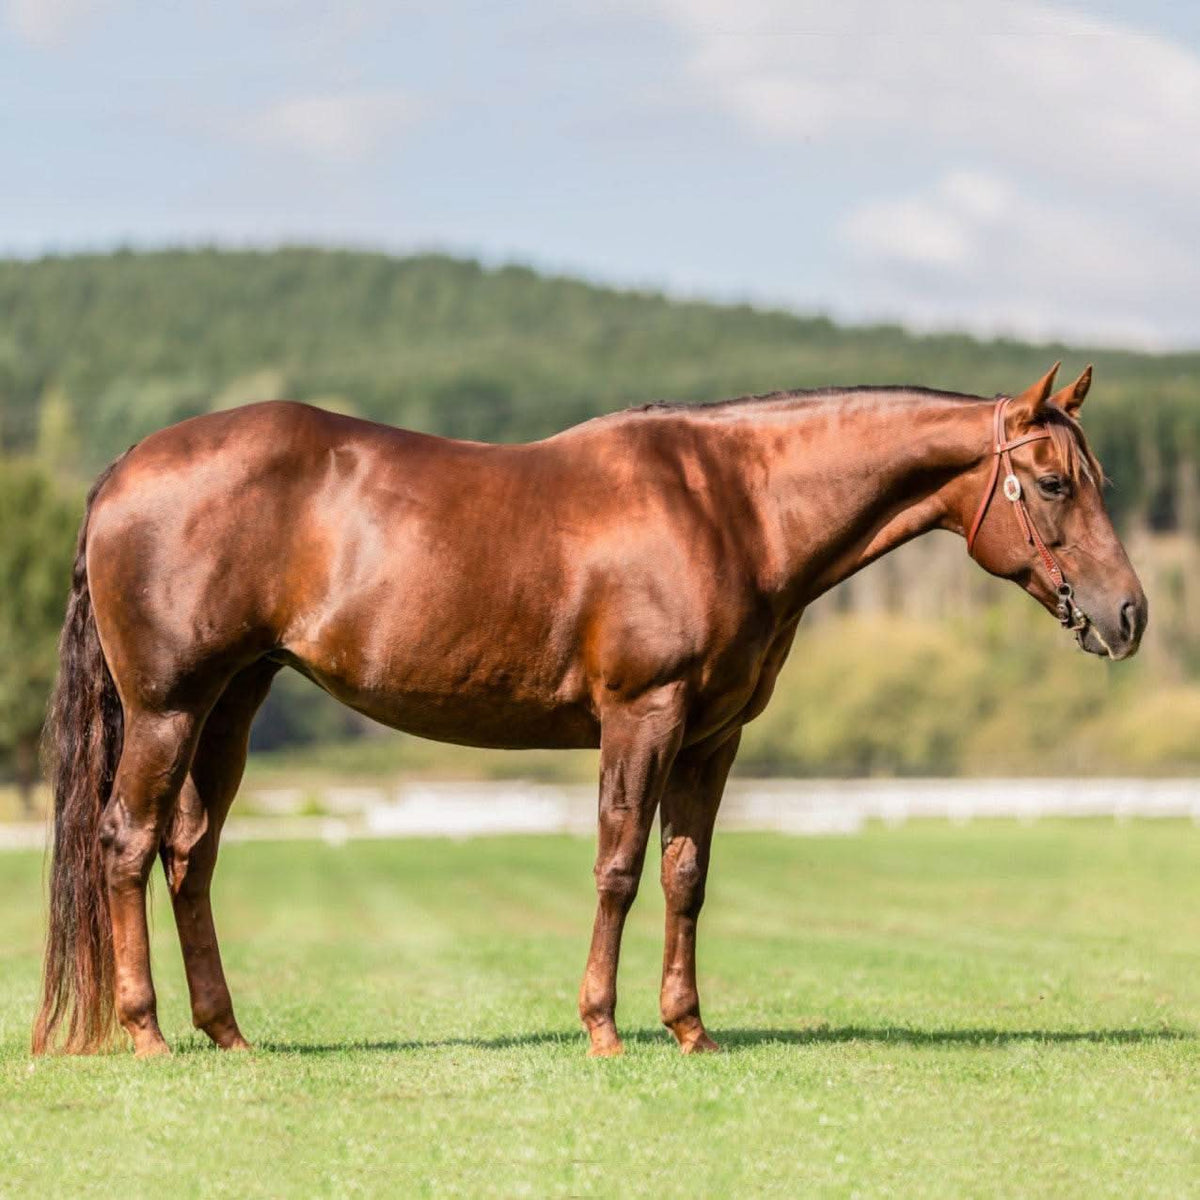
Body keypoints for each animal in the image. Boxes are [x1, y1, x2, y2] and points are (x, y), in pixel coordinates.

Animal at [32, 362, 1146, 1058]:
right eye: (1052, 482)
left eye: (1094, 476)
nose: (1128, 614)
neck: (730, 505)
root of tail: (127, 468)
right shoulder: (641, 717)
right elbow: (618, 866)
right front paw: (604, 1026)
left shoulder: (713, 736)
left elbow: (686, 875)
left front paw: (690, 1027)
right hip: (169, 707)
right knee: (127, 842)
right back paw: (146, 1031)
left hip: (233, 703)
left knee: (190, 854)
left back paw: (227, 1031)